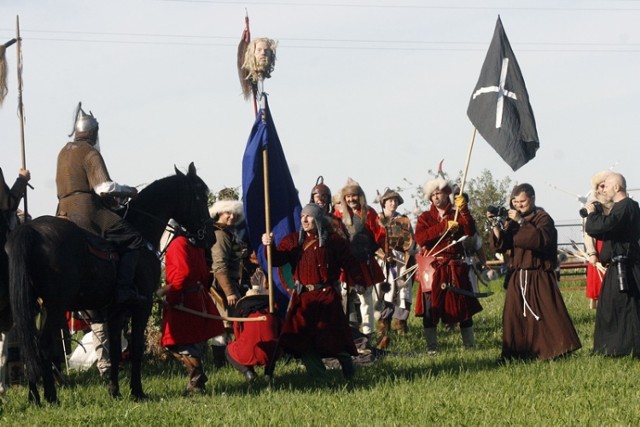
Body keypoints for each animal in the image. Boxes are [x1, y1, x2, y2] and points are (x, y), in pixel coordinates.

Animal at [5, 163, 210, 404]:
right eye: (200, 195)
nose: (210, 237)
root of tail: (30, 230)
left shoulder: (115, 310)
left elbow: (113, 349)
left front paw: (114, 390)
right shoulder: (141, 305)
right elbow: (136, 348)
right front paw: (137, 391)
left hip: (30, 305)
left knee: (28, 347)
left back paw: (34, 396)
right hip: (55, 306)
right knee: (44, 347)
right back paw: (51, 397)